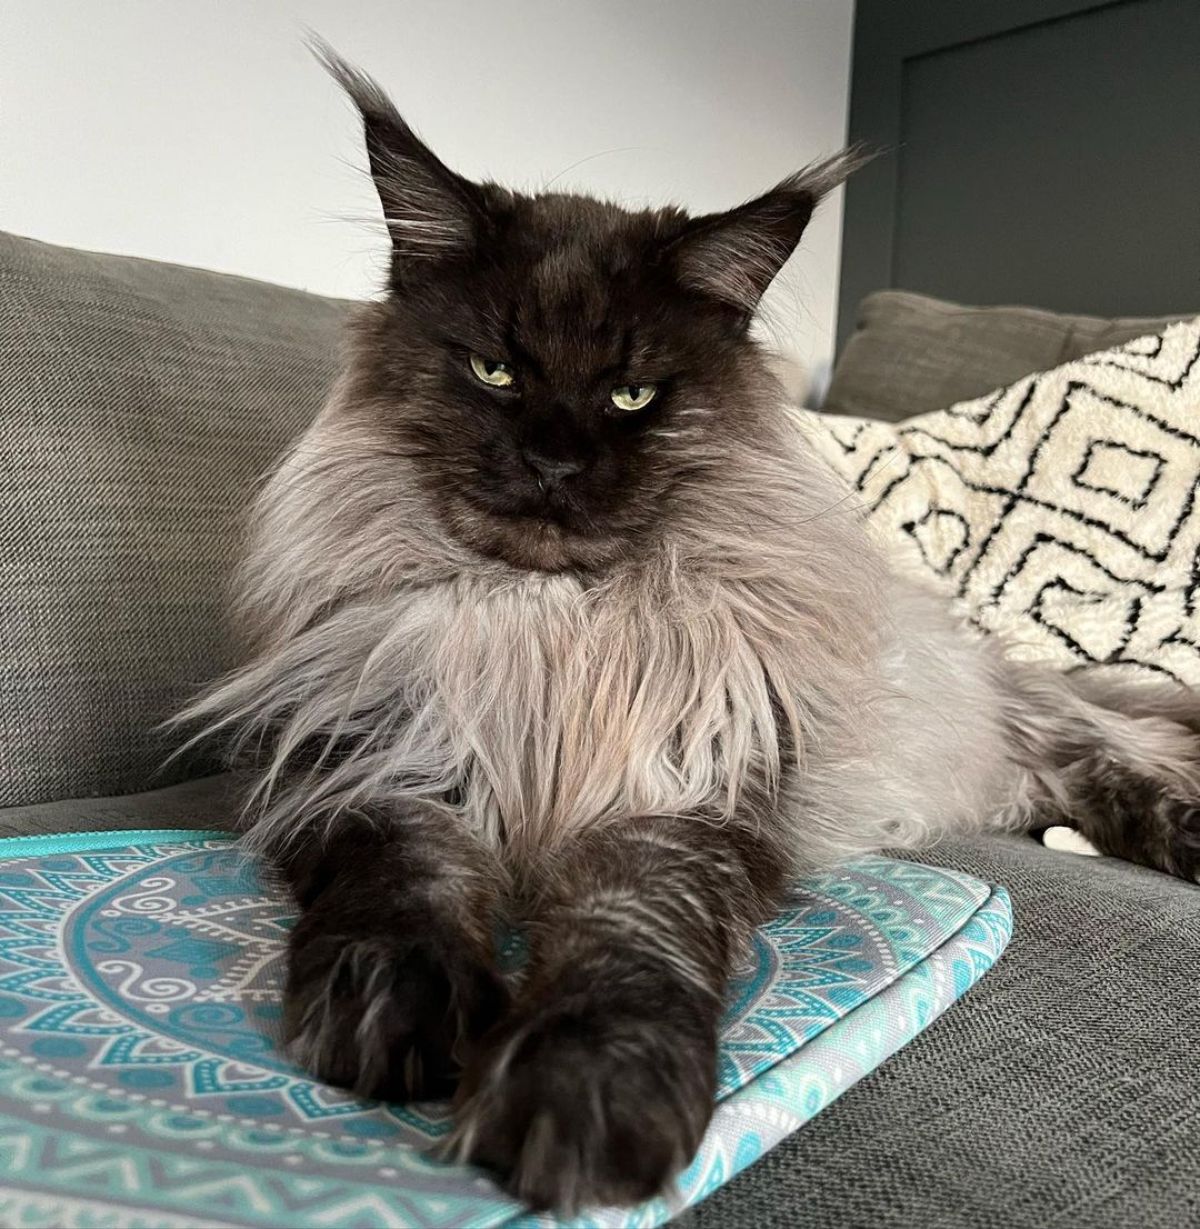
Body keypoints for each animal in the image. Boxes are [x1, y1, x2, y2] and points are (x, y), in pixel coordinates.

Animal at [178, 50, 1200, 1219]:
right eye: (496, 372)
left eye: (632, 394)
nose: (554, 460)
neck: (553, 635)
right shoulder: (381, 764)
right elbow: (405, 884)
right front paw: (393, 1011)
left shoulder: (676, 804)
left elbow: (627, 940)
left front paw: (583, 1101)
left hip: (1041, 726)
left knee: (1121, 760)